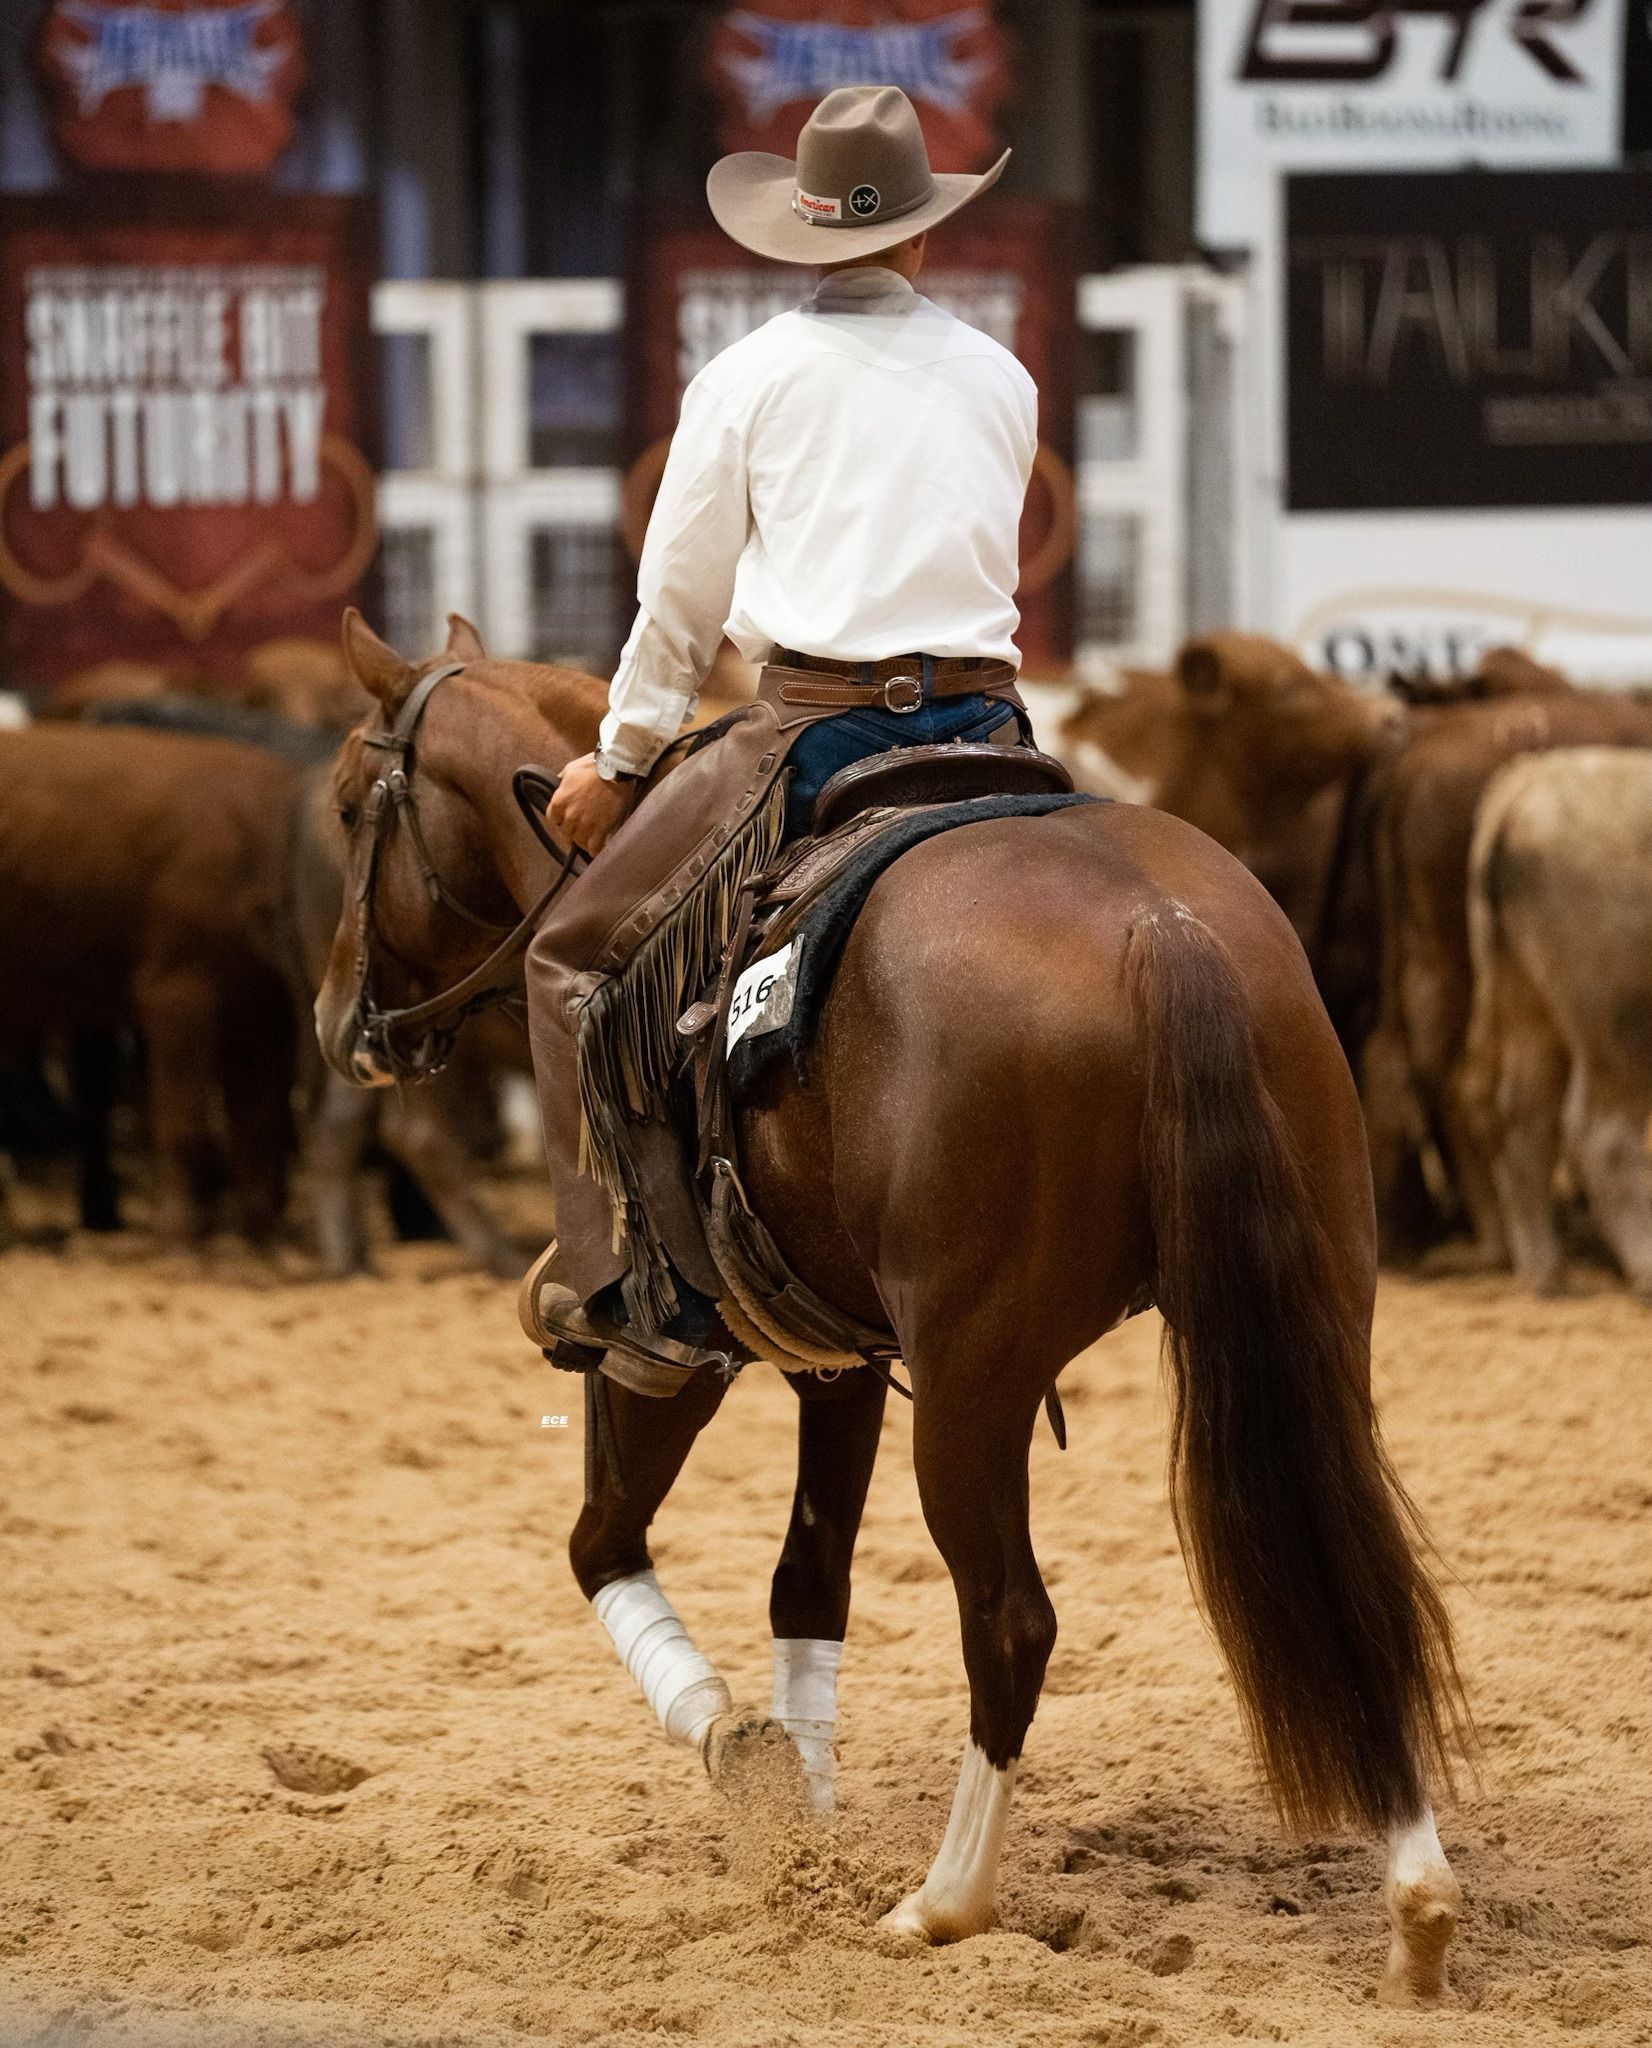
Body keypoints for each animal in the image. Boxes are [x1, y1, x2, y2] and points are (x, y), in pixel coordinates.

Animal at [314, 617, 1472, 2007]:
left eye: (344, 806)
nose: (339, 1023)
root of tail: (1163, 928)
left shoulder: (675, 1357)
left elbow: (601, 1543)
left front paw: (739, 1754)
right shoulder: (839, 1356)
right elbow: (807, 1579)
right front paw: (800, 1822)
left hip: (974, 1380)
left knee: (1011, 1620)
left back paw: (943, 1901)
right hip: (1309, 1315)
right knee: (1353, 1574)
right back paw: (1415, 1905)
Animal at [1460, 749, 1652, 1298]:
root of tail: (1529, 781)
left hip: (1528, 1006)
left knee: (1524, 1123)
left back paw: (1545, 1271)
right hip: (1617, 1020)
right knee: (1603, 1137)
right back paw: (1645, 1265)